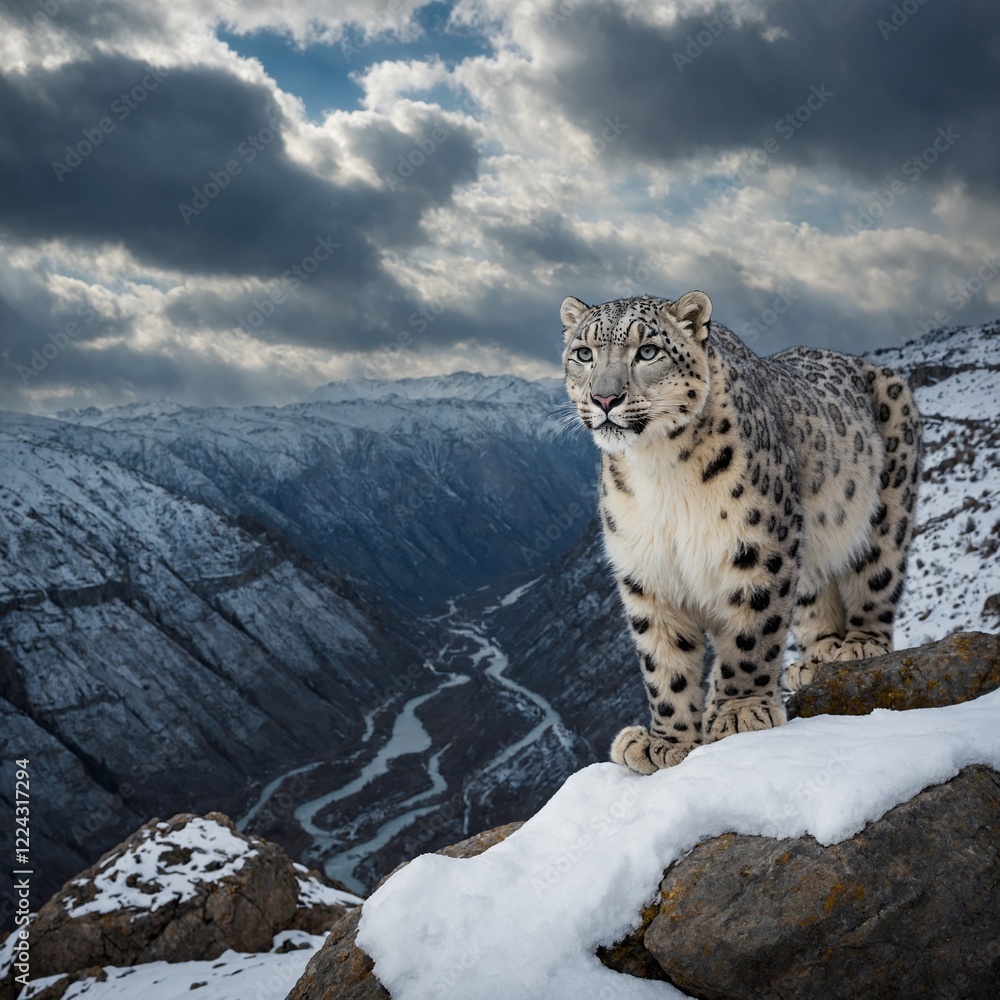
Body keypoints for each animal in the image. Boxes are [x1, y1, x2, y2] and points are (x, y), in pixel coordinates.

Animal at [561, 290, 922, 773]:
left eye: (648, 351)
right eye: (584, 353)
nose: (604, 398)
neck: (659, 471)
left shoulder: (759, 545)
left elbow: (751, 632)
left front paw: (740, 712)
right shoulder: (646, 570)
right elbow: (663, 661)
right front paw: (667, 742)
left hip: (887, 509)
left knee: (876, 575)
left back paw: (859, 647)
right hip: (810, 553)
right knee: (815, 594)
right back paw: (817, 659)